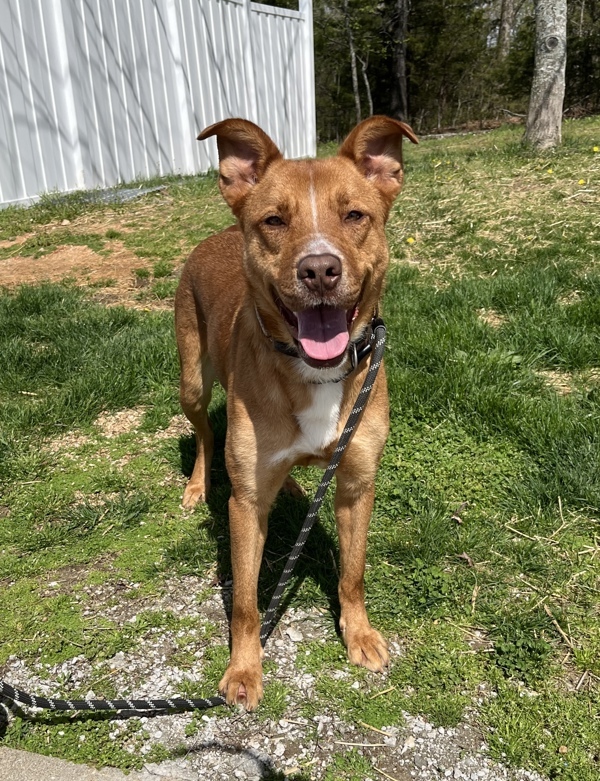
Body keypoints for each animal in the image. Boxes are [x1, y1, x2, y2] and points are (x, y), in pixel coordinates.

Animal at [173, 116, 418, 708]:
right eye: (274, 221)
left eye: (355, 215)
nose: (320, 270)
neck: (313, 372)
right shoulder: (244, 506)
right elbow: (244, 601)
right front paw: (243, 669)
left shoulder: (355, 483)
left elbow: (352, 574)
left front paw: (360, 635)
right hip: (191, 381)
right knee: (203, 432)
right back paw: (197, 485)